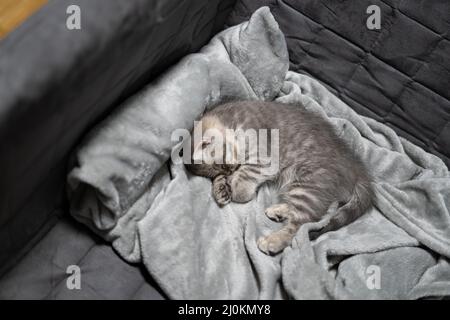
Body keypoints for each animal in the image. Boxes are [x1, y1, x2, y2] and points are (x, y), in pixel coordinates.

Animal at [185, 100, 372, 255]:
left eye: (223, 164)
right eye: (222, 171)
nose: (230, 171)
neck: (231, 122)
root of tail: (356, 168)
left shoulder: (264, 156)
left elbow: (247, 175)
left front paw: (238, 190)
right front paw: (221, 188)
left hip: (309, 184)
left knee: (300, 226)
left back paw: (273, 241)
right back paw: (279, 211)